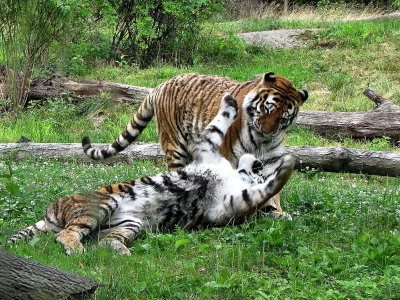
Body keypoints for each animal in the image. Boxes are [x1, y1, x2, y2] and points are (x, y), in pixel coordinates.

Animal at [8, 94, 294, 255]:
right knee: (67, 234)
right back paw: (79, 251)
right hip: (103, 203)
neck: (235, 174)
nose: (258, 164)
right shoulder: (207, 148)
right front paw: (231, 102)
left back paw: (119, 252)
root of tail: (49, 214)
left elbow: (259, 192)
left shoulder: (226, 206)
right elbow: (220, 122)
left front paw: (285, 167)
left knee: (95, 240)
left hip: (128, 224)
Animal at [82, 72, 310, 219]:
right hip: (175, 146)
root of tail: (161, 85)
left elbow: (274, 189)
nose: (268, 131)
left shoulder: (271, 160)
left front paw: (277, 212)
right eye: (267, 109)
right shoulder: (229, 157)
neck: (261, 141)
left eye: (283, 118)